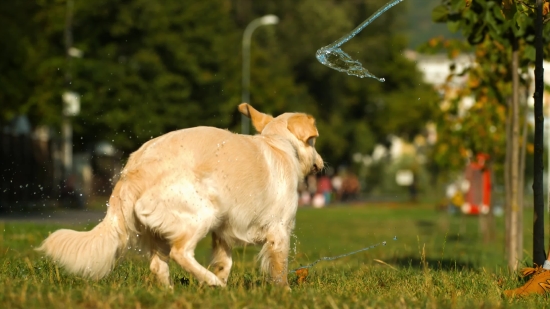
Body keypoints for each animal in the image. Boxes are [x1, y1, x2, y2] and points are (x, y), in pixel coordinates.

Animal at [37, 103, 324, 286]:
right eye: (313, 142)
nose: (321, 165)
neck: (278, 144)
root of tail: (132, 171)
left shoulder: (223, 232)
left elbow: (226, 262)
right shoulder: (279, 231)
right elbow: (279, 269)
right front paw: (284, 293)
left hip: (158, 228)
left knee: (158, 265)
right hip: (202, 211)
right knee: (180, 253)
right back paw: (210, 282)